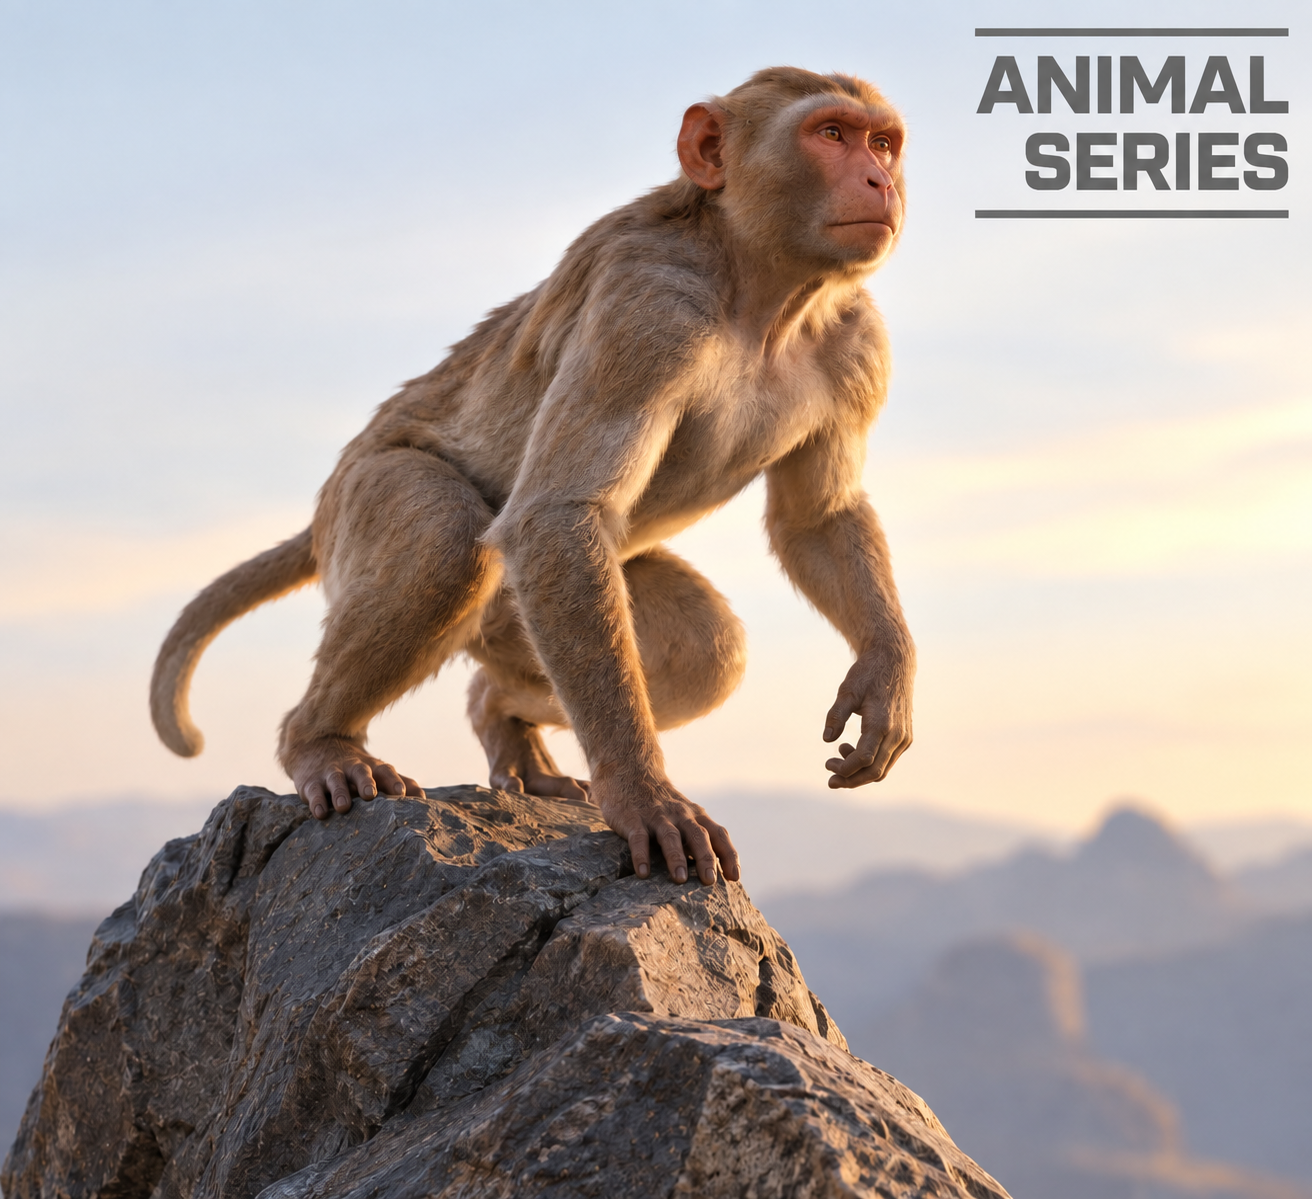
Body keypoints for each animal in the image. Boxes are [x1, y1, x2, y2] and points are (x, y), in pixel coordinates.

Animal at [152, 66, 915, 889]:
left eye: (881, 143)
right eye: (830, 135)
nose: (880, 181)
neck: (763, 293)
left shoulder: (860, 343)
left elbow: (817, 518)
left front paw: (886, 670)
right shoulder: (646, 312)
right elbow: (555, 513)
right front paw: (643, 791)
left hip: (525, 609)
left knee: (704, 647)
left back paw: (498, 712)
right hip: (362, 496)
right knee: (445, 540)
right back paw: (318, 739)